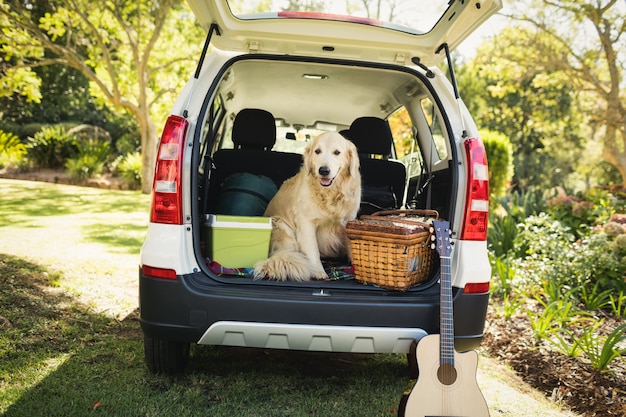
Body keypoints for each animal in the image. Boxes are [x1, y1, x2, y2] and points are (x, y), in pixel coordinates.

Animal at [252, 132, 360, 282]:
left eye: (337, 152)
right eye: (317, 151)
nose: (324, 170)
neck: (330, 194)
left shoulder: (348, 221)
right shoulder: (306, 223)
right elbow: (312, 250)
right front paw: (318, 272)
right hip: (281, 226)